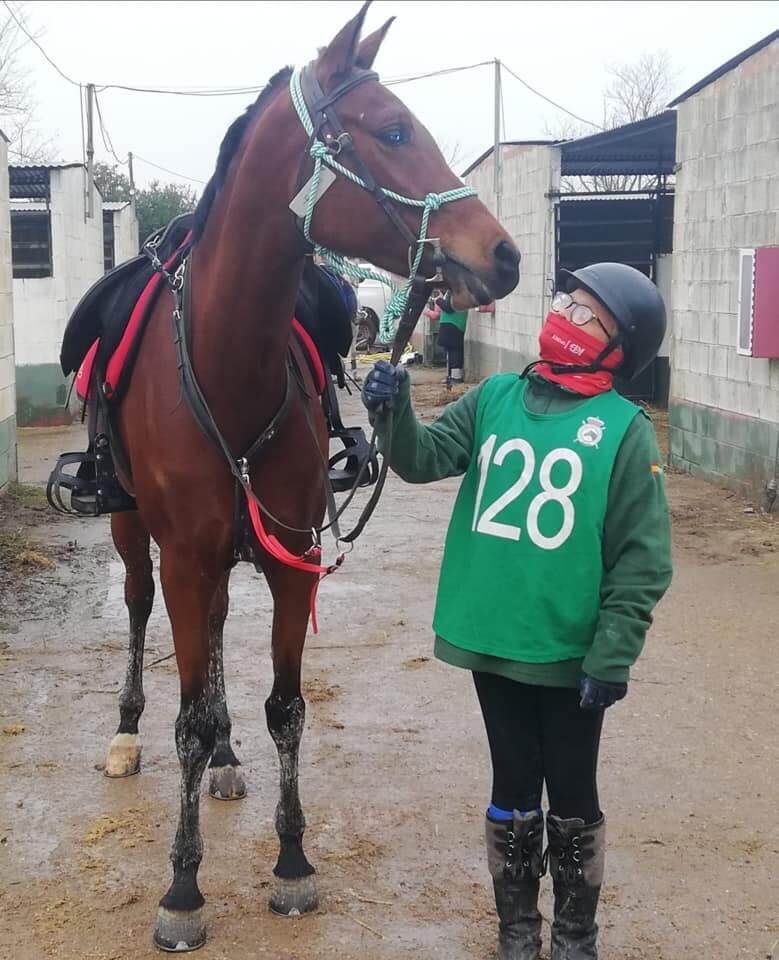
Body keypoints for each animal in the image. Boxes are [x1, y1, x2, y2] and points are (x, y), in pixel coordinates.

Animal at [102, 3, 516, 948]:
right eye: (393, 129)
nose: (505, 254)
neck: (227, 362)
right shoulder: (185, 559)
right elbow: (186, 717)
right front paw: (183, 887)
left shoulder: (291, 558)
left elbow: (283, 708)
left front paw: (291, 861)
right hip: (132, 530)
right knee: (142, 613)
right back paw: (127, 730)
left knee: (219, 638)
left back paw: (226, 756)